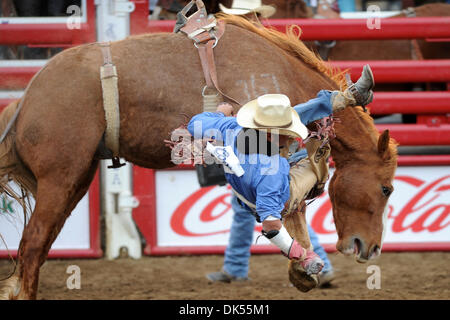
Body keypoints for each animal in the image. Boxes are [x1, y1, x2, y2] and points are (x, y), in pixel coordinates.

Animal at [0, 13, 398, 298]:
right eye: (386, 189)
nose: (370, 248)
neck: (280, 71)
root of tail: (26, 99)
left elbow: (290, 207)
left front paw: (303, 269)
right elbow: (289, 207)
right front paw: (303, 266)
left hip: (75, 179)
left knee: (38, 247)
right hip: (60, 177)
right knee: (33, 245)